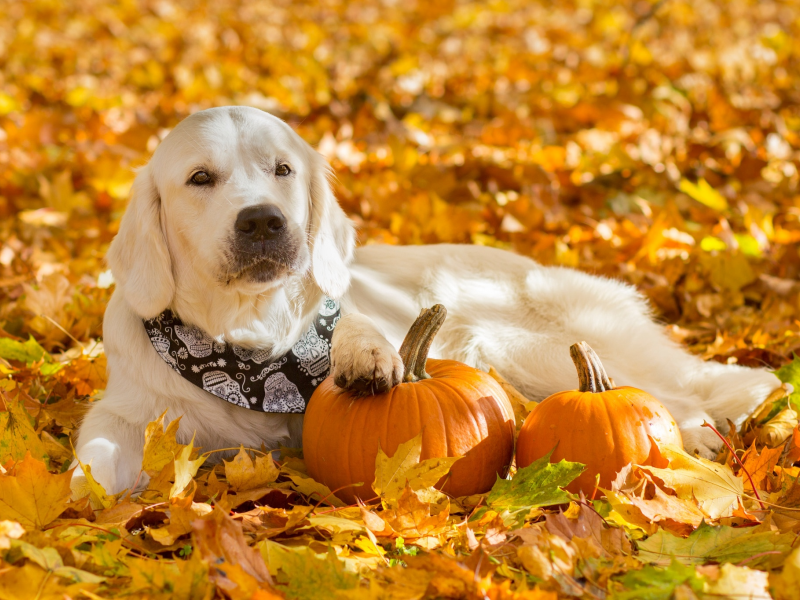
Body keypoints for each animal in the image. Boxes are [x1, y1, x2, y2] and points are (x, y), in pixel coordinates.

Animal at [70, 108, 780, 496]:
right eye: (200, 179)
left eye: (283, 171)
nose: (264, 221)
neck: (249, 341)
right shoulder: (128, 411)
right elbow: (95, 452)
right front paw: (80, 498)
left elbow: (354, 326)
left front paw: (364, 357)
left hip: (519, 345)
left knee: (656, 394)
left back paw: (697, 430)